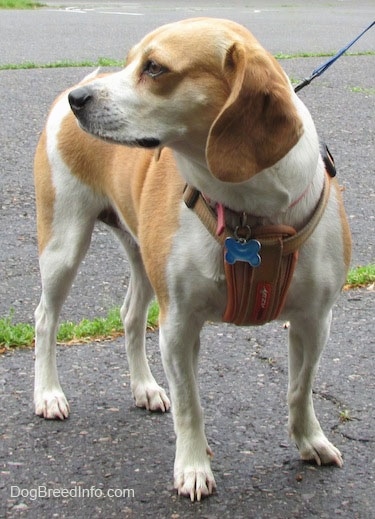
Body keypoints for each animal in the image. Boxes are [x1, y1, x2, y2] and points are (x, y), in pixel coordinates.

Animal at [33, 18, 352, 502]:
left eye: (154, 68)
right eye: (130, 61)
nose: (78, 102)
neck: (250, 216)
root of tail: (72, 85)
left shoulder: (316, 320)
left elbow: (301, 388)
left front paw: (309, 441)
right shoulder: (180, 324)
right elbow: (191, 404)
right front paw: (194, 467)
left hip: (142, 258)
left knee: (130, 317)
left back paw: (144, 387)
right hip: (63, 246)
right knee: (45, 319)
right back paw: (48, 393)